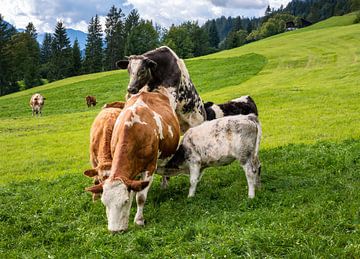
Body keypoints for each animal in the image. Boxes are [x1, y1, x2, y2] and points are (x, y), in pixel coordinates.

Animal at [84, 88, 180, 234]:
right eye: (104, 203)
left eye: (124, 201)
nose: (115, 231)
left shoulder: (150, 167)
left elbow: (140, 197)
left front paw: (139, 220)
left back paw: (164, 183)